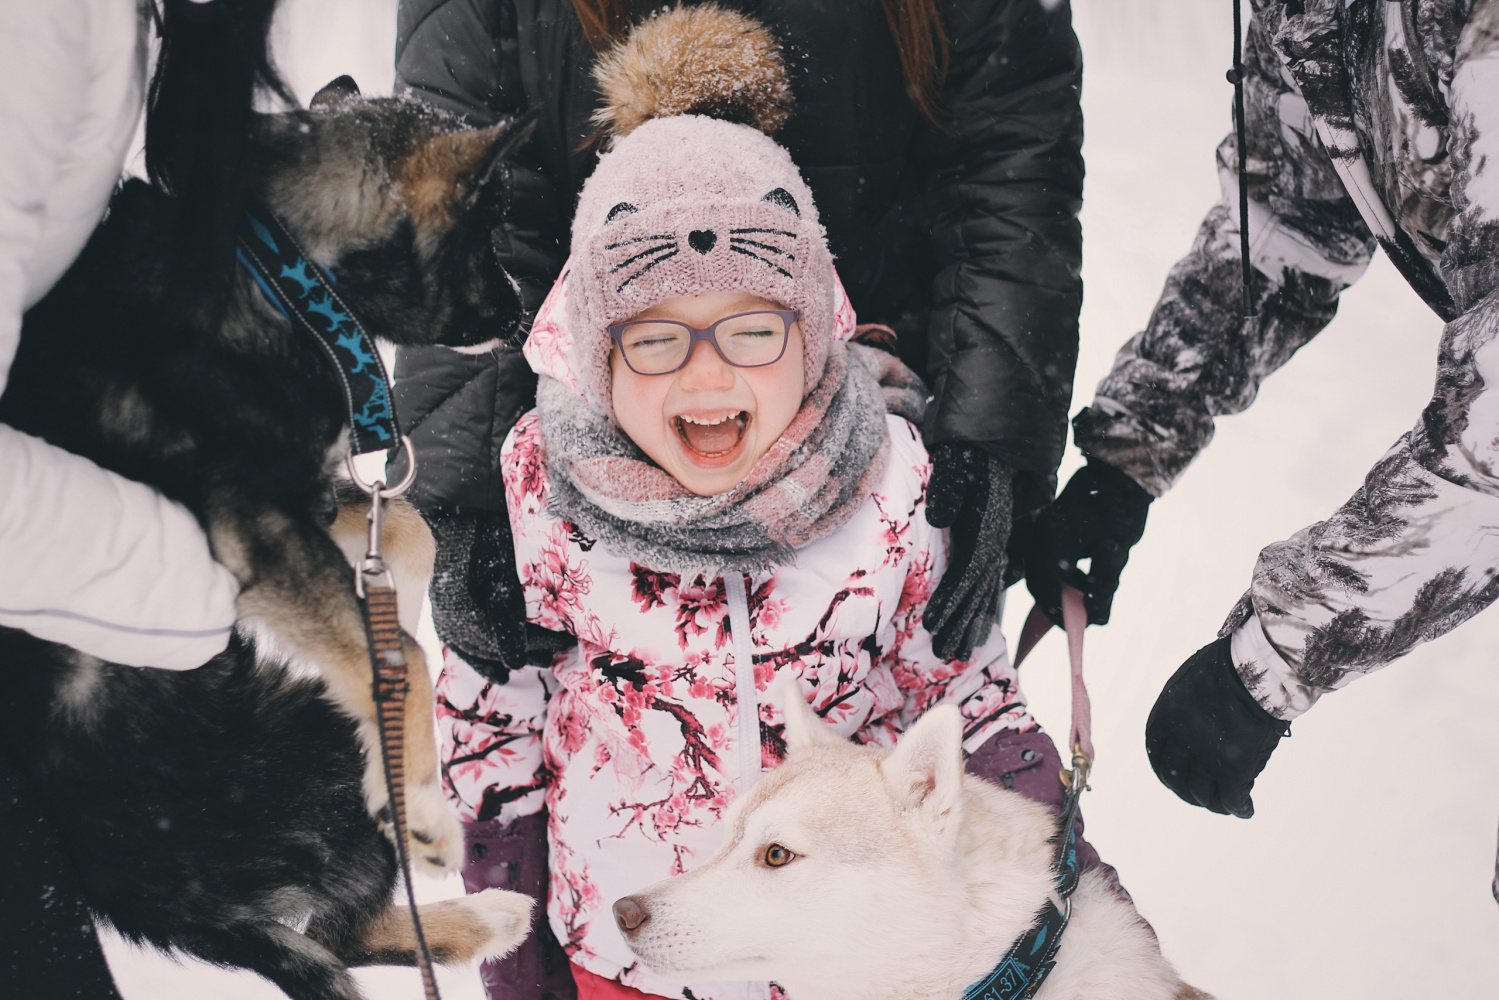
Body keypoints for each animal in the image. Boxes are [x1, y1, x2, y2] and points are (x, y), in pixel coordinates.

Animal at [0, 78, 533, 1000]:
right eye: (486, 224)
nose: (520, 309)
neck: (283, 276)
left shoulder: (309, 505)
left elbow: (412, 534)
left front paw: (402, 599)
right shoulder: (254, 531)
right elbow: (400, 653)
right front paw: (423, 798)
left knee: (344, 935)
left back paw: (484, 921)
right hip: (307, 759)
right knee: (342, 928)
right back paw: (473, 904)